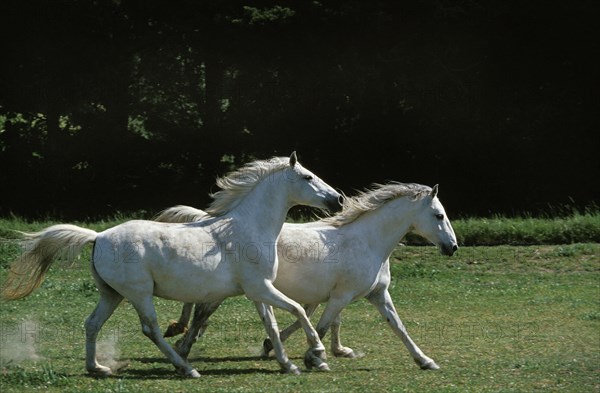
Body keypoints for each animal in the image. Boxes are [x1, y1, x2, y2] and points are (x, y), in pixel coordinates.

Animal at [2, 153, 342, 376]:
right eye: (307, 177)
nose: (337, 199)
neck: (247, 229)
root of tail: (98, 236)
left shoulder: (259, 291)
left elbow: (271, 324)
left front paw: (289, 364)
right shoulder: (260, 288)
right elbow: (299, 311)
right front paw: (317, 354)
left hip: (112, 295)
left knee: (92, 324)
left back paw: (98, 368)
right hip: (139, 294)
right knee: (149, 329)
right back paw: (185, 368)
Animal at [157, 182, 458, 370]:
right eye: (438, 215)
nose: (452, 247)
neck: (368, 242)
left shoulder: (376, 294)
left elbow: (398, 327)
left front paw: (425, 361)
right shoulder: (340, 295)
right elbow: (323, 325)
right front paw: (314, 357)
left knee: (201, 310)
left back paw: (182, 342)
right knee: (200, 310)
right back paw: (181, 342)